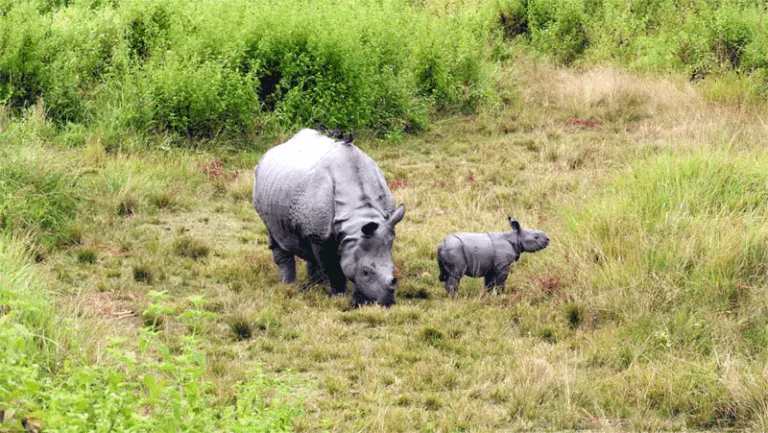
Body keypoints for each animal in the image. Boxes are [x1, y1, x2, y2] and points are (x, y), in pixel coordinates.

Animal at [253, 128, 405, 307]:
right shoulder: (320, 236)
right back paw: (288, 287)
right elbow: (333, 268)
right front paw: (339, 296)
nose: (388, 303)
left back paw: (315, 285)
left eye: (394, 270)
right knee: (275, 234)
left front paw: (360, 301)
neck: (358, 217)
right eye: (366, 272)